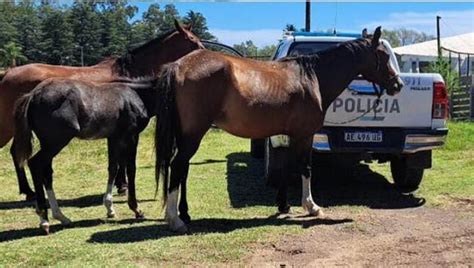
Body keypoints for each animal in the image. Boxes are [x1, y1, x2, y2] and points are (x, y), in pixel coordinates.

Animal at [0, 20, 204, 201]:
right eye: (192, 39)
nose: (204, 53)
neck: (129, 74)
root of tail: (7, 72)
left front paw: (120, 184)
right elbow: (122, 159)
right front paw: (122, 185)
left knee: (16, 152)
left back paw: (28, 191)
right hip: (9, 127)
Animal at [13, 76, 159, 233]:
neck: (136, 94)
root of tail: (33, 95)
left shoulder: (113, 138)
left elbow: (113, 168)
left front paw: (110, 208)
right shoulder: (131, 136)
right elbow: (131, 169)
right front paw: (136, 209)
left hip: (48, 144)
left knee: (46, 173)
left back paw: (61, 216)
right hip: (56, 142)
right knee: (35, 164)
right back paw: (44, 220)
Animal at [153, 27, 404, 232]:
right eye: (383, 55)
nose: (398, 85)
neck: (311, 77)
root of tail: (179, 65)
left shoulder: (288, 134)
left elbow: (286, 168)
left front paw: (283, 205)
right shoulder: (304, 135)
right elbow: (305, 167)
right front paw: (312, 207)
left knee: (182, 168)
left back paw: (184, 214)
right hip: (193, 133)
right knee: (178, 165)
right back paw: (175, 220)